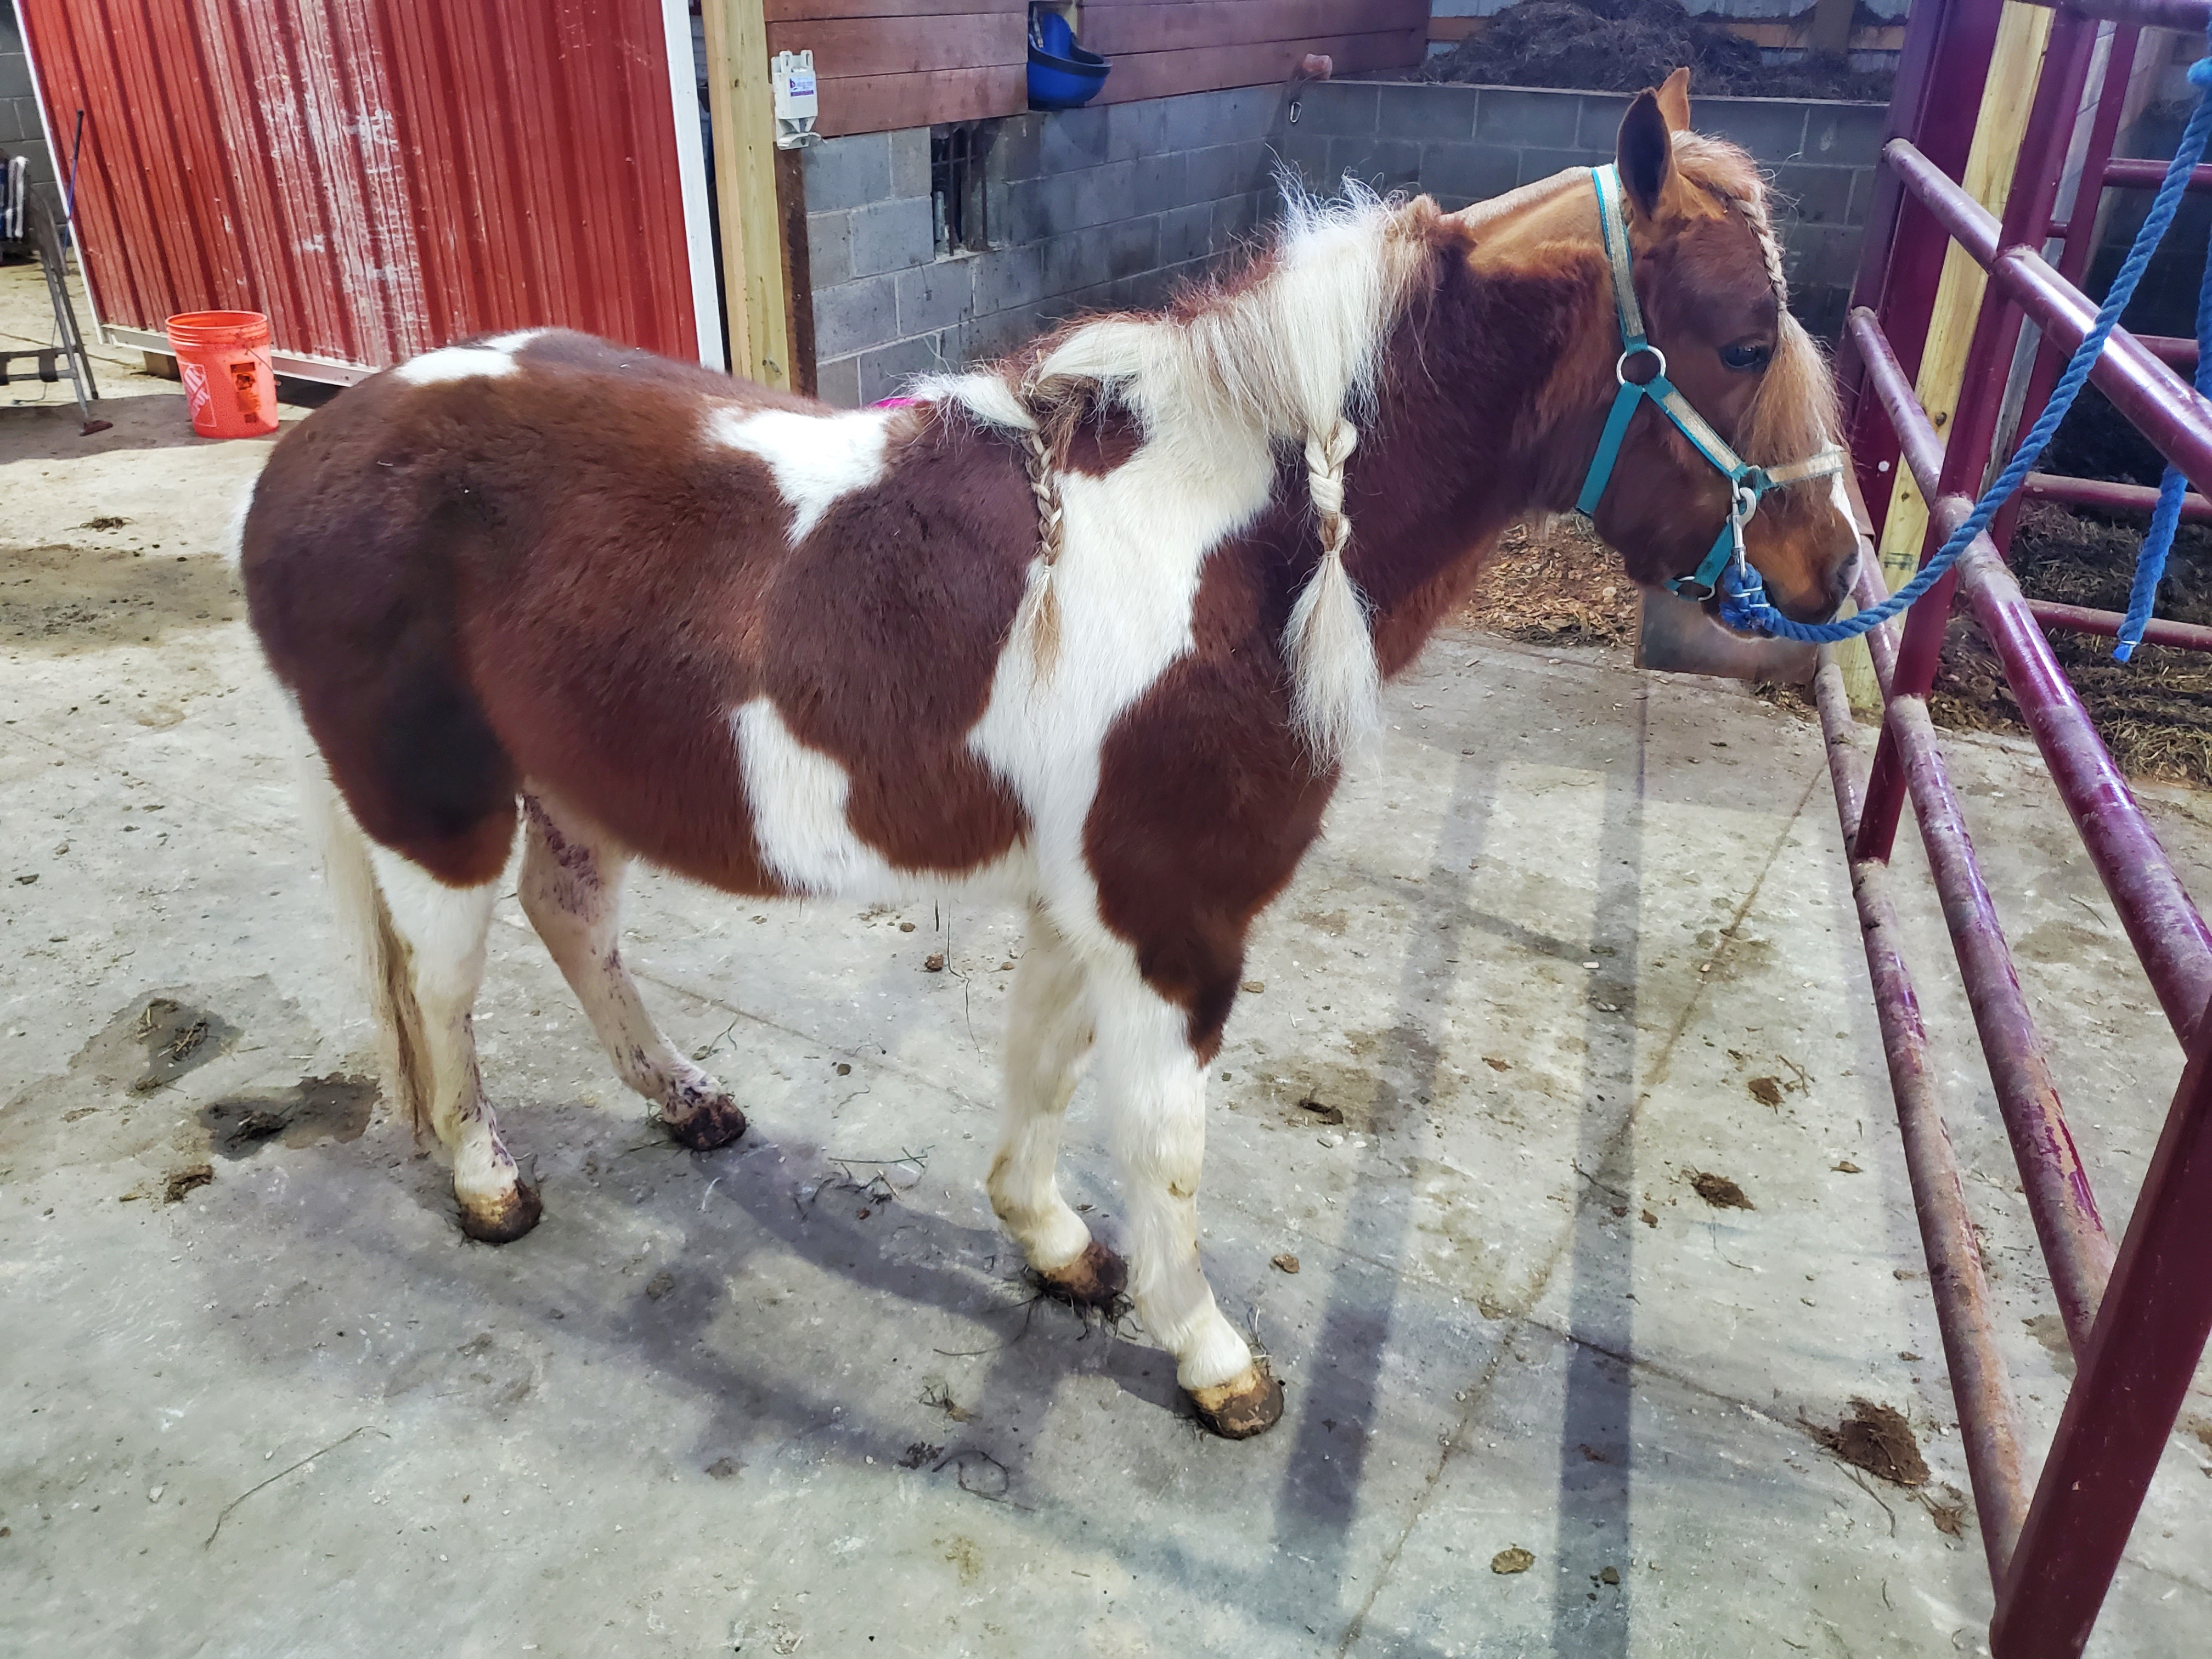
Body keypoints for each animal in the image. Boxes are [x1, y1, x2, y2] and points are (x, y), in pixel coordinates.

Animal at [239, 70, 1856, 1440]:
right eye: (1745, 339)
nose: (1836, 569)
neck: (1234, 546)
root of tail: (321, 440)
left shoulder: (1097, 902)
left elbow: (1045, 1071)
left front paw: (1055, 1241)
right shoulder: (1175, 921)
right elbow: (1164, 1138)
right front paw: (1212, 1358)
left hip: (574, 784)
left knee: (571, 922)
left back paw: (687, 1099)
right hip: (436, 810)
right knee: (444, 991)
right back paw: (487, 1182)